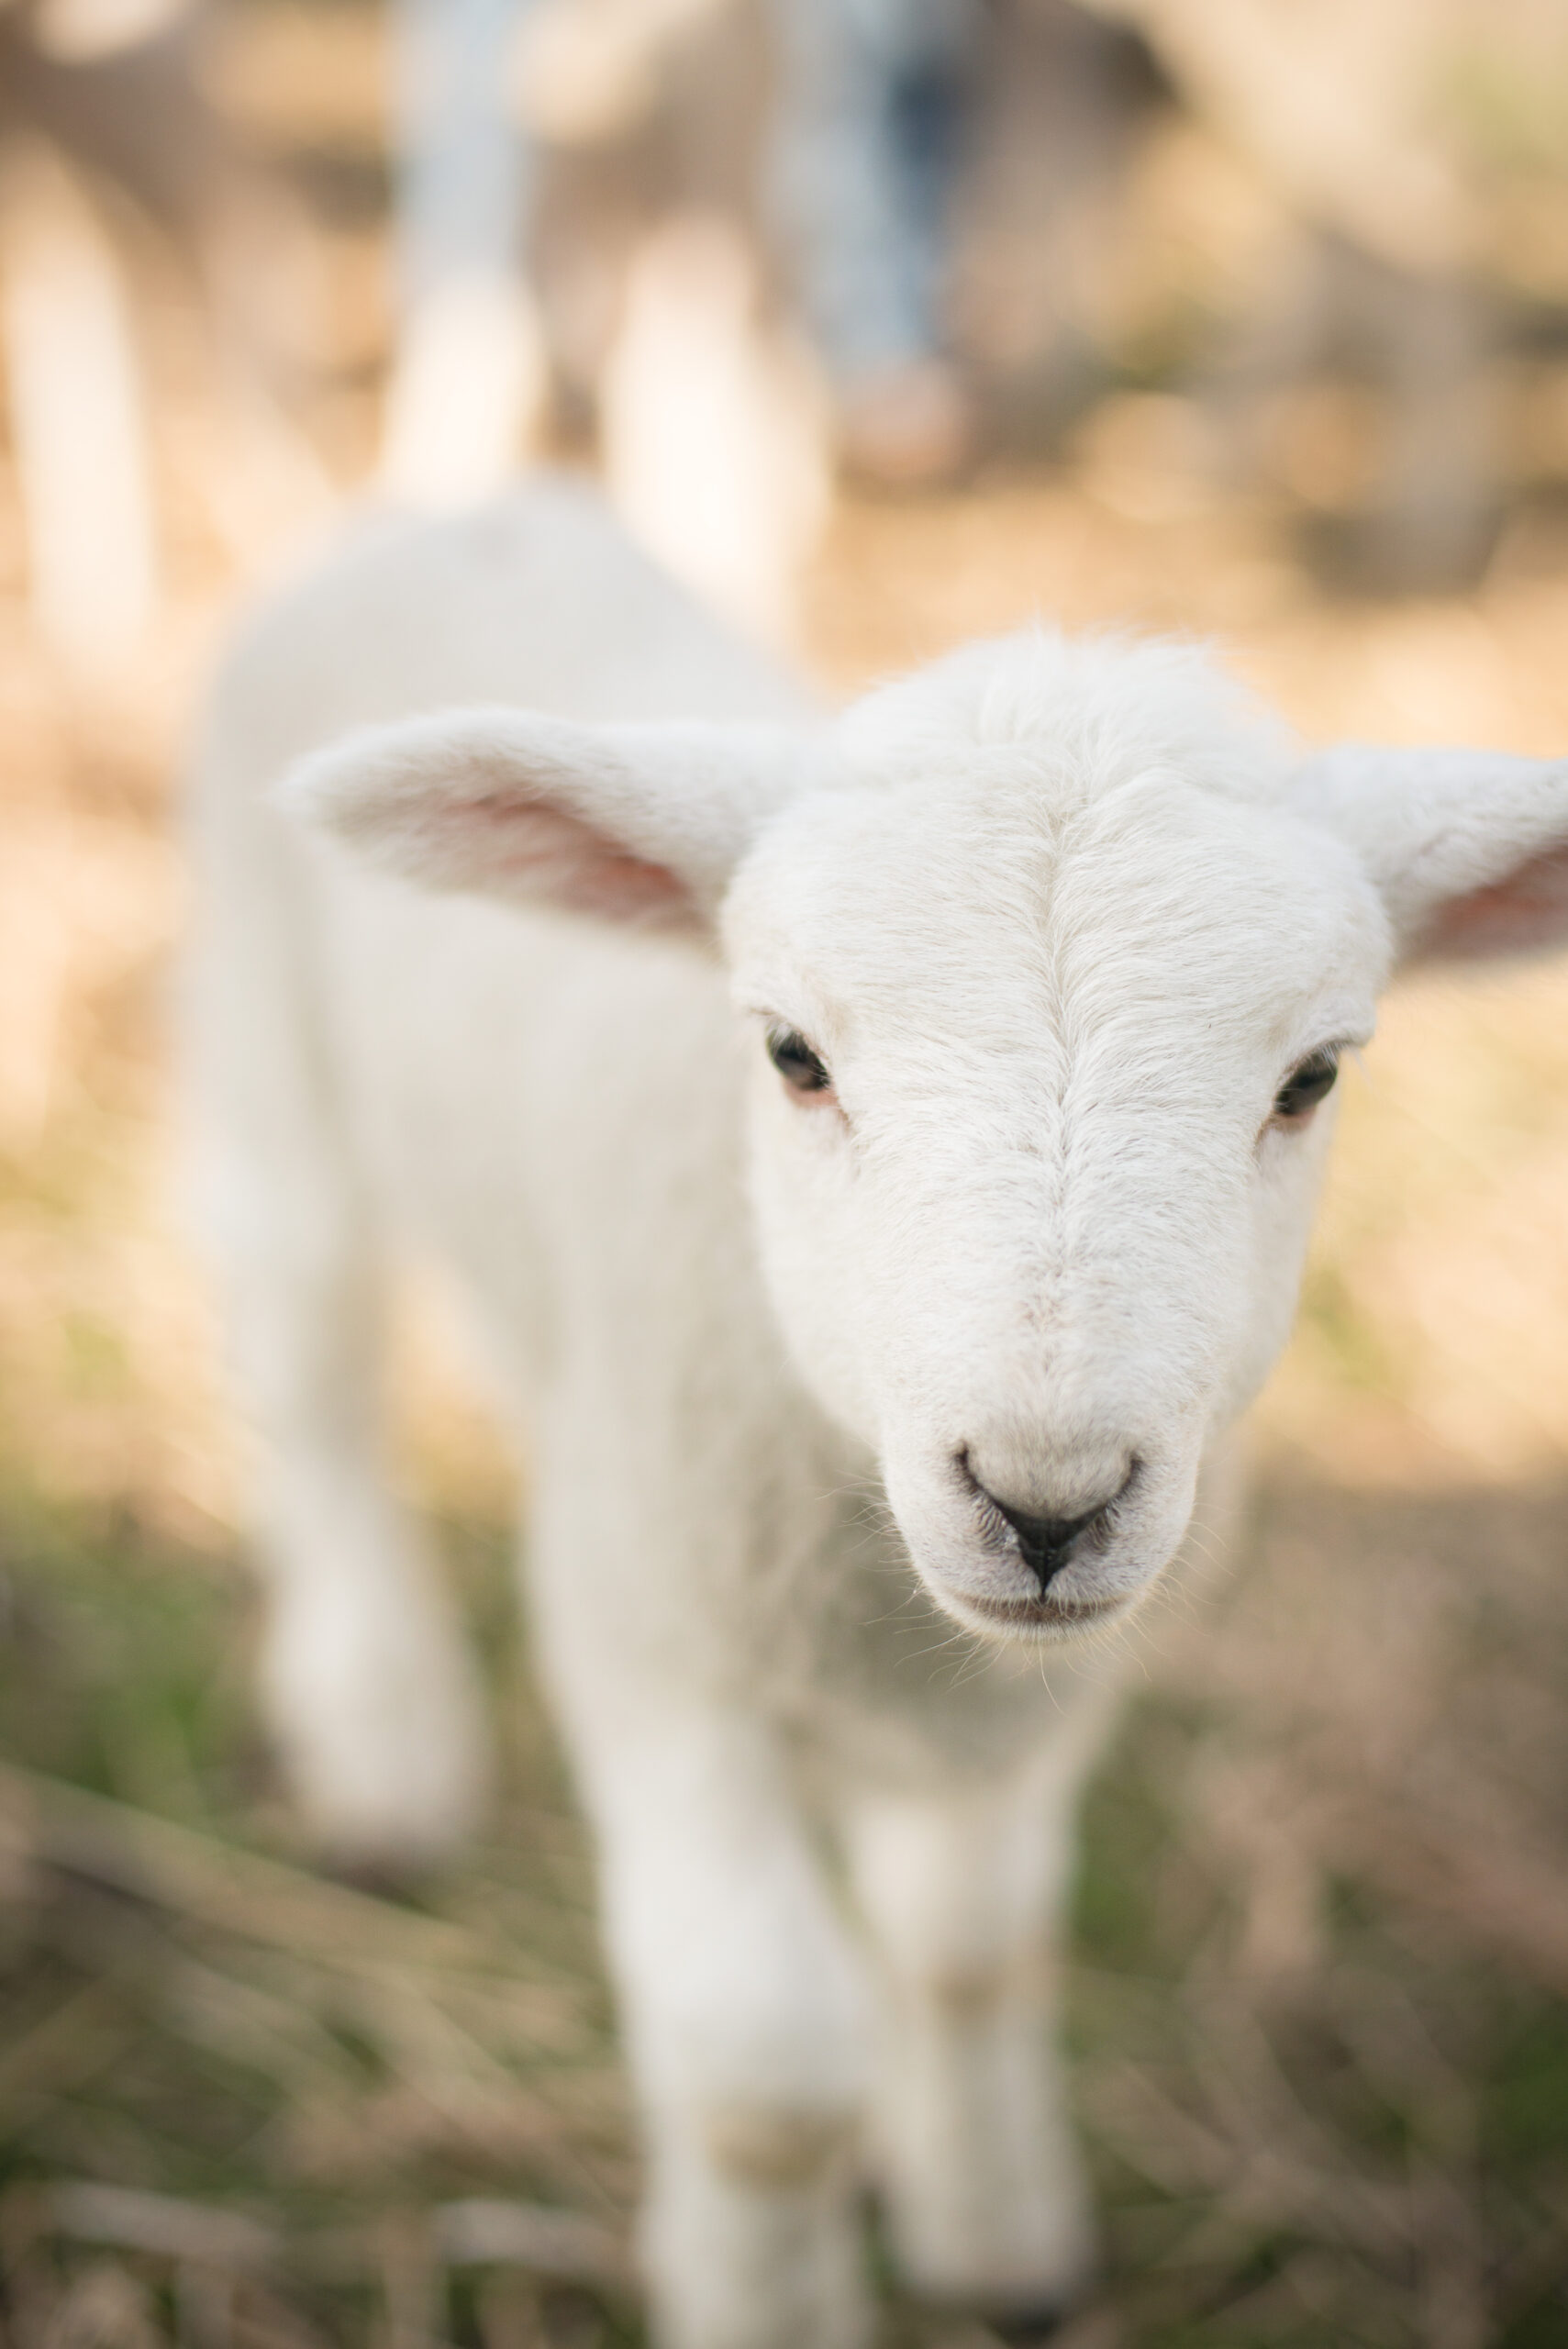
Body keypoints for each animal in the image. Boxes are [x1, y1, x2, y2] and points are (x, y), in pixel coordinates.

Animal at [187, 475, 1568, 2349]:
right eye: (791, 1056)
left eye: (1310, 1078)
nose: (1046, 1502)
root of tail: (464, 507)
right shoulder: (655, 1642)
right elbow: (765, 2078)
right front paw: (760, 2292)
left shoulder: (1010, 1719)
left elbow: (973, 1951)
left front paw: (993, 2234)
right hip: (268, 1056)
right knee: (314, 1375)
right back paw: (384, 1742)